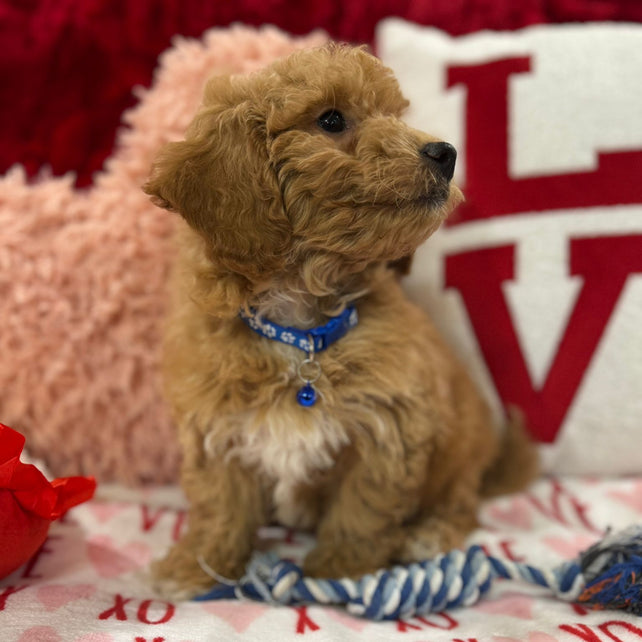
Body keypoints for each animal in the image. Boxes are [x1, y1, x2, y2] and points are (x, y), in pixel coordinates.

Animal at [144, 43, 536, 596]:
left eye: (396, 116)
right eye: (331, 119)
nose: (445, 153)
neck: (302, 331)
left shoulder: (390, 427)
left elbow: (363, 506)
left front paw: (341, 569)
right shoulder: (218, 425)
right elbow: (220, 505)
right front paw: (198, 566)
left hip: (461, 448)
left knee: (461, 500)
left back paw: (430, 534)